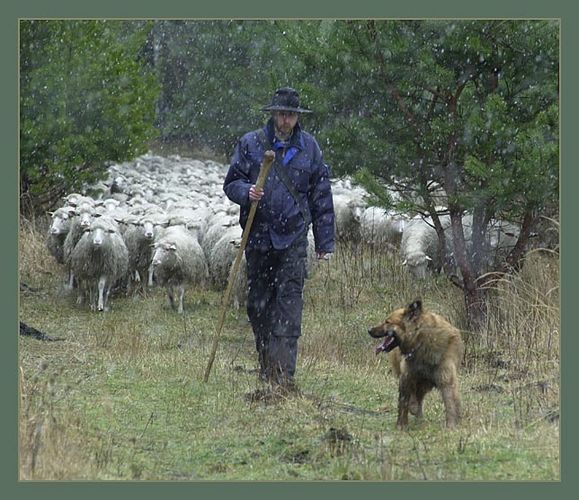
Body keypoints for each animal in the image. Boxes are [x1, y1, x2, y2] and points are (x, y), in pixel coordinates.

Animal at [370, 298, 464, 428]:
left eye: (387, 322)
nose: (369, 330)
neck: (421, 340)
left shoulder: (446, 379)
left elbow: (450, 404)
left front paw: (451, 426)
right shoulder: (407, 376)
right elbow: (404, 403)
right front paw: (401, 425)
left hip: (426, 383)